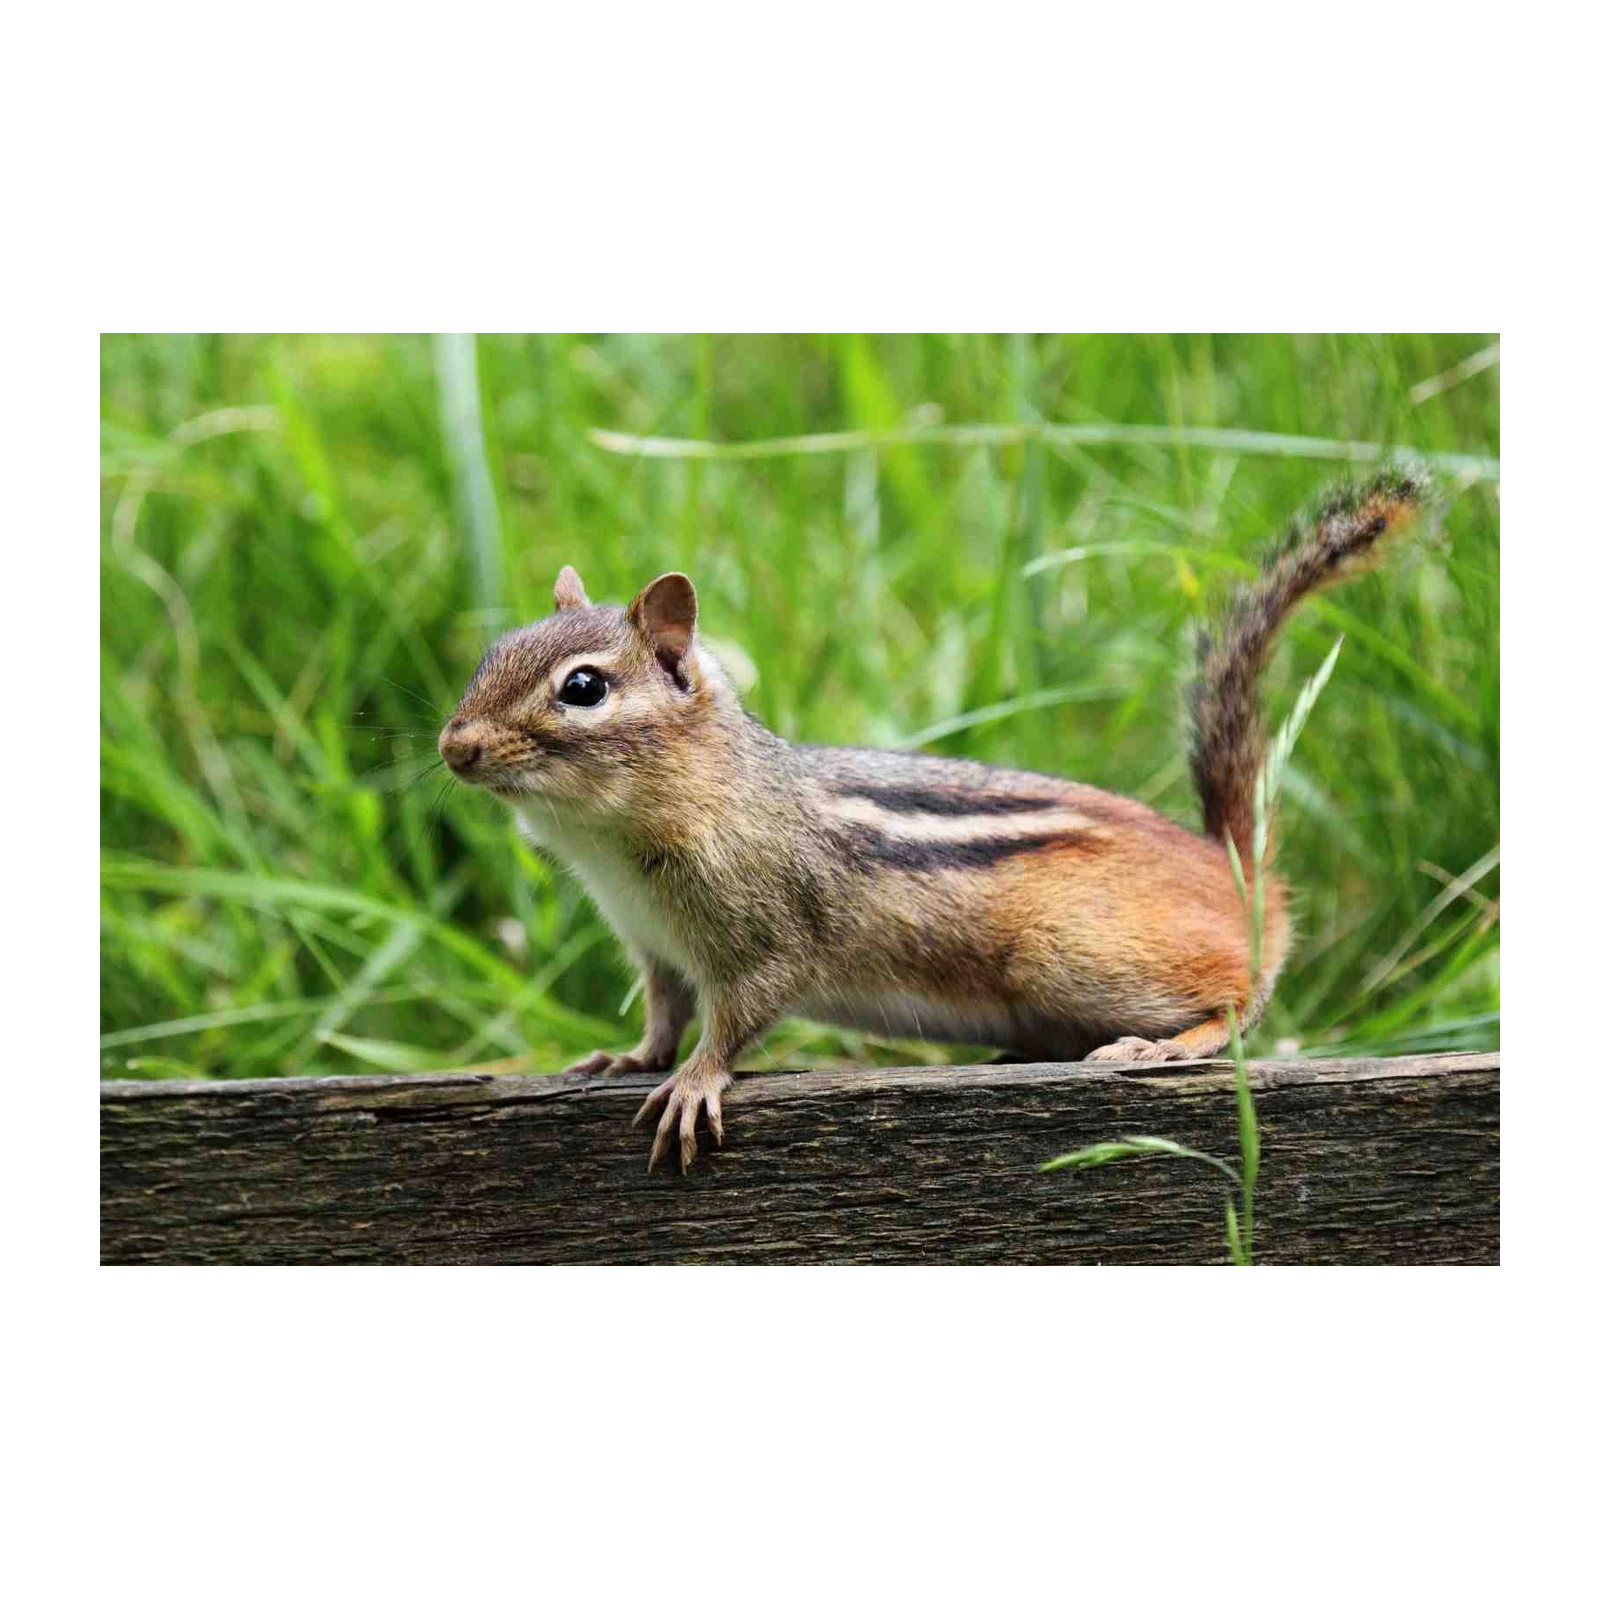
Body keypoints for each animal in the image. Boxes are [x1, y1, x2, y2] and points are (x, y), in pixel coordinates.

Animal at [439, 466, 1429, 1172]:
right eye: (491, 655)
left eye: (583, 688)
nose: (455, 747)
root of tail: (1237, 868)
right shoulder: (655, 949)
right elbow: (663, 1012)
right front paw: (630, 1059)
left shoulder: (766, 931)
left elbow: (739, 1015)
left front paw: (695, 1082)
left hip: (1065, 951)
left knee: (1244, 992)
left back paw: (1164, 1044)